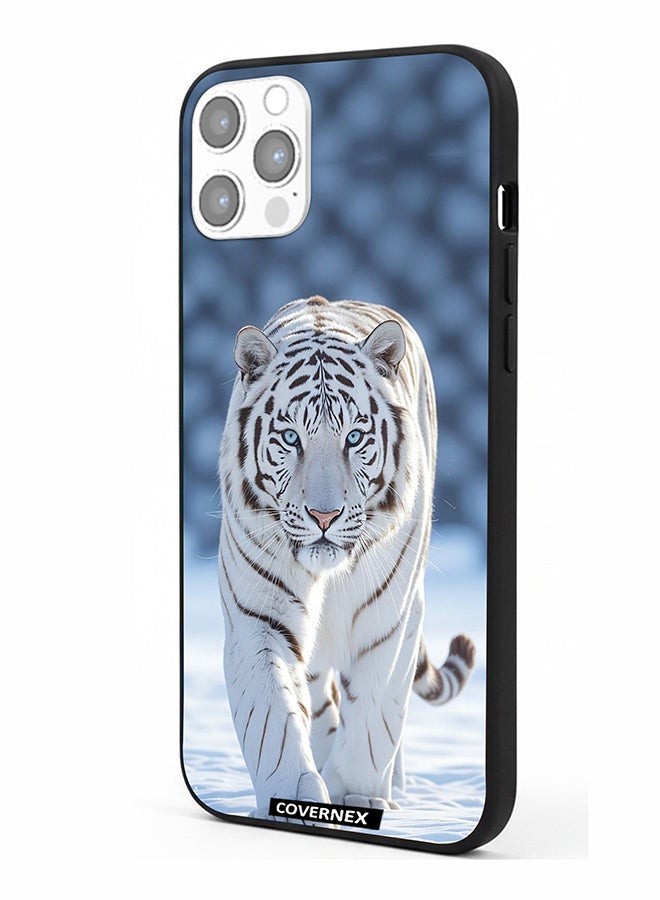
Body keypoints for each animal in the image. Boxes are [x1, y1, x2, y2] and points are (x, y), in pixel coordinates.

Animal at [218, 296, 475, 818]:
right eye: (291, 438)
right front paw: (296, 794)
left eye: (354, 438)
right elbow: (273, 720)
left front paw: (357, 795)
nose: (324, 515)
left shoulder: (390, 620)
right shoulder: (258, 618)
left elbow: (375, 715)